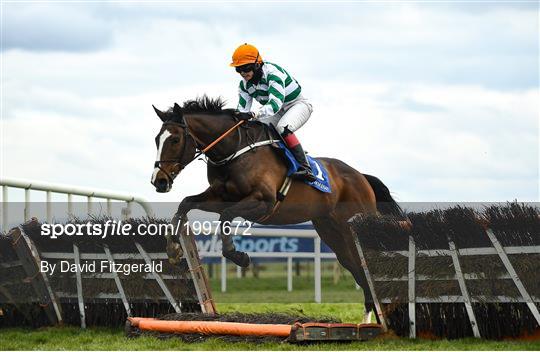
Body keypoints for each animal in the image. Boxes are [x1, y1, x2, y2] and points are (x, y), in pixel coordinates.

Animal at [150, 96, 402, 320]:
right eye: (156, 140)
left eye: (174, 140)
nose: (159, 181)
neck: (234, 152)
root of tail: (361, 177)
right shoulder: (219, 196)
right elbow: (185, 203)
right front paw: (173, 249)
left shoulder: (264, 202)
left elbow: (226, 217)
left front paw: (239, 256)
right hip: (333, 235)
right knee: (357, 269)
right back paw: (369, 319)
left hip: (355, 226)